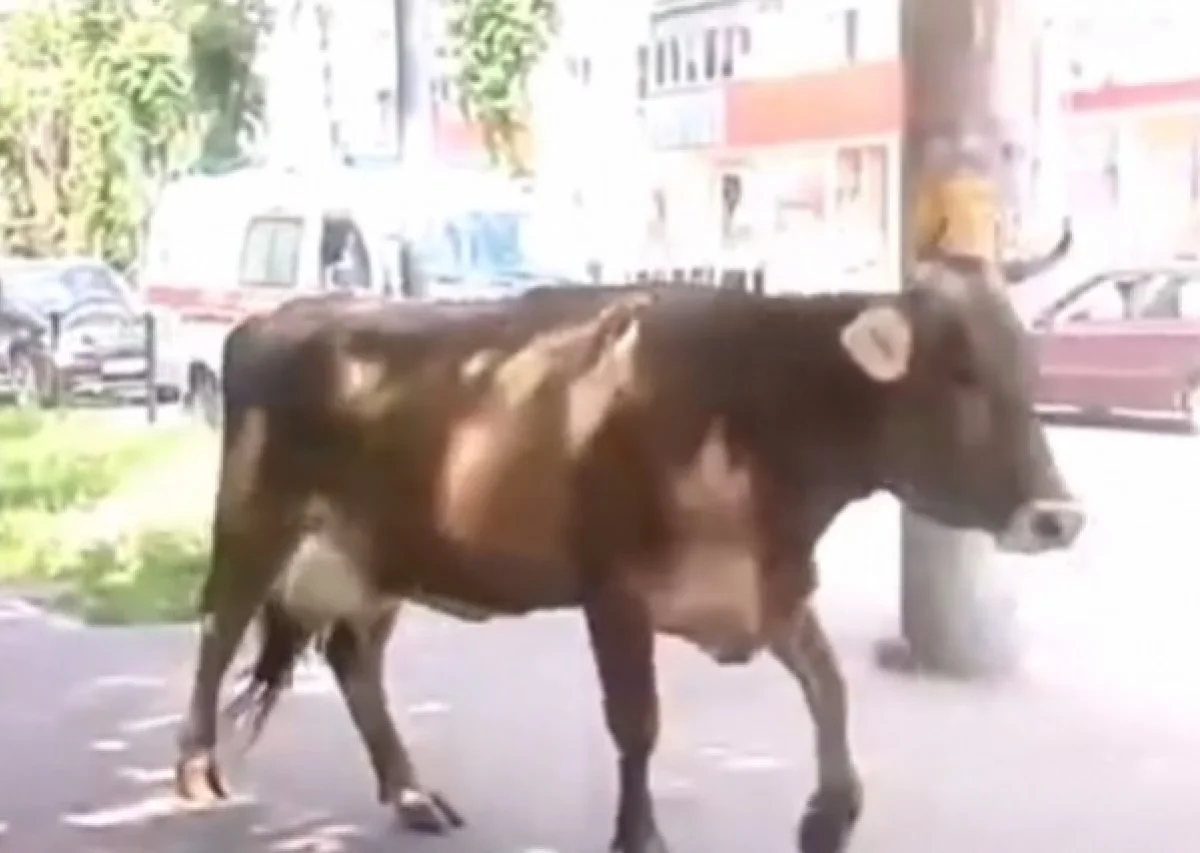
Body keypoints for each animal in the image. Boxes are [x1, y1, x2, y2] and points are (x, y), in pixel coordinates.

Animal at [173, 226, 1083, 853]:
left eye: (1030, 370)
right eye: (960, 374)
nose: (1059, 515)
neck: (749, 411)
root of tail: (287, 312)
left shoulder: (773, 585)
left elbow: (831, 690)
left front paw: (829, 816)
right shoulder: (615, 590)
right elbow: (637, 723)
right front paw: (638, 835)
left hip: (384, 550)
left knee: (354, 659)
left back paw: (410, 794)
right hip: (254, 517)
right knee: (218, 628)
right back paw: (195, 774)